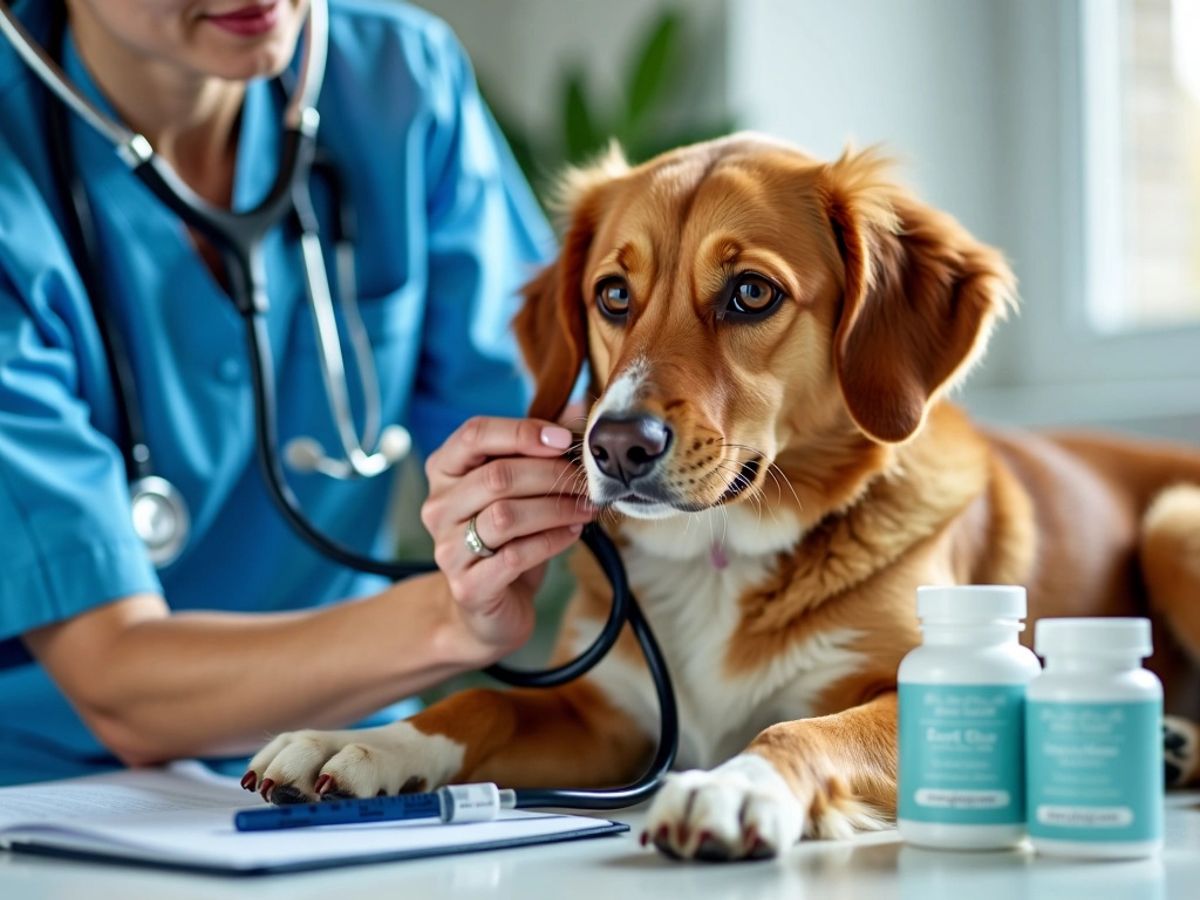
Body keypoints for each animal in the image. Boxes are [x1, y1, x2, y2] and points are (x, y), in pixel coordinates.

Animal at [246, 137, 1200, 864]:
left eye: (751, 292)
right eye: (612, 294)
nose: (614, 445)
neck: (716, 556)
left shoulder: (905, 688)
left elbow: (800, 731)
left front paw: (733, 787)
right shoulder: (612, 720)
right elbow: (484, 700)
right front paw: (368, 743)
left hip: (1171, 523)